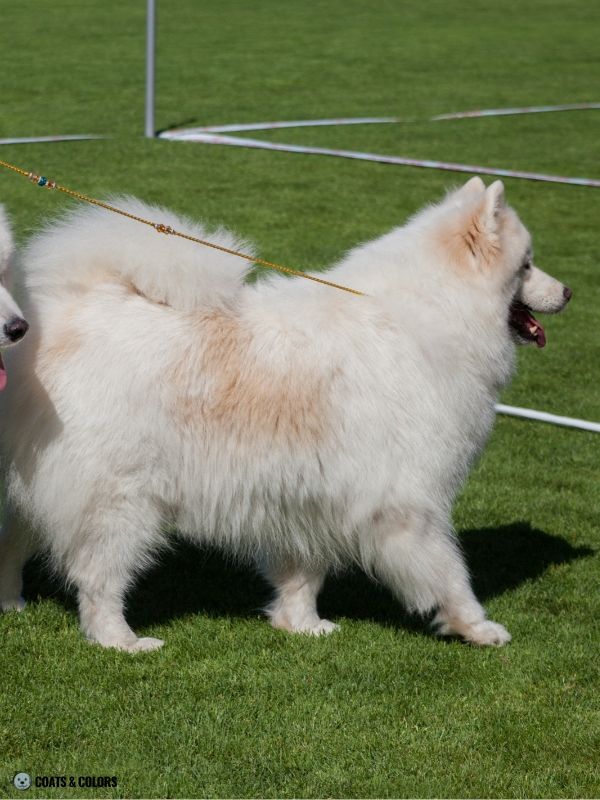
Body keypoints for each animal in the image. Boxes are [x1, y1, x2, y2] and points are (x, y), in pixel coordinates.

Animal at [0, 180, 572, 648]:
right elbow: (450, 573)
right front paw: (478, 627)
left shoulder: (314, 494)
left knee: (13, 544)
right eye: (527, 264)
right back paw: (121, 640)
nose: (568, 291)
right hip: (120, 501)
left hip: (41, 486)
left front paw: (302, 624)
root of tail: (63, 314)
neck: (429, 318)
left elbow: (303, 573)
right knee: (98, 579)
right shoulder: (407, 501)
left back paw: (11, 604)